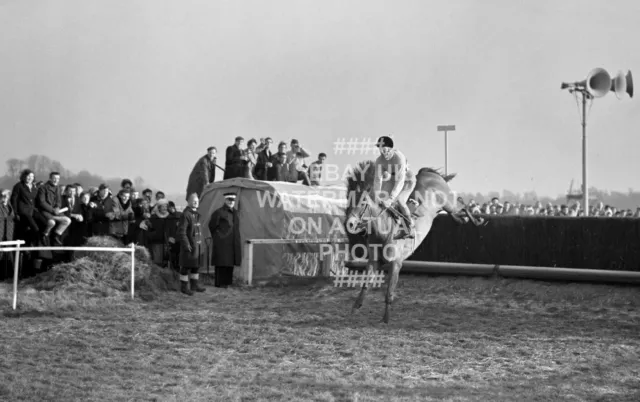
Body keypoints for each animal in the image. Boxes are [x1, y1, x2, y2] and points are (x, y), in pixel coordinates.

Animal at [342, 160, 482, 324]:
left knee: (462, 203)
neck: (385, 229)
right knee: (457, 213)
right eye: (350, 200)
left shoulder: (396, 263)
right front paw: (354, 309)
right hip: (445, 208)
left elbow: (389, 292)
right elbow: (365, 285)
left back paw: (478, 220)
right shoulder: (373, 261)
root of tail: (428, 173)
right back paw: (463, 220)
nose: (350, 223)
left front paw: (386, 319)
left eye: (363, 202)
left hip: (448, 202)